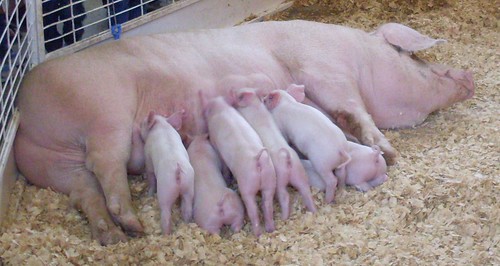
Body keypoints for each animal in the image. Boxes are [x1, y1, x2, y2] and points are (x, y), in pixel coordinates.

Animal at [202, 95, 276, 235]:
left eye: (206, 111)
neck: (222, 108)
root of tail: (257, 160)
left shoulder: (215, 142)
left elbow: (224, 165)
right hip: (269, 180)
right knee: (267, 204)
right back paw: (270, 229)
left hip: (247, 186)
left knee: (253, 209)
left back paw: (257, 233)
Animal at [230, 87, 316, 218]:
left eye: (240, 95)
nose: (232, 89)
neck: (254, 104)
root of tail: (287, 159)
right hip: (299, 173)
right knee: (305, 189)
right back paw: (313, 211)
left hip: (280, 178)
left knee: (284, 195)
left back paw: (284, 217)